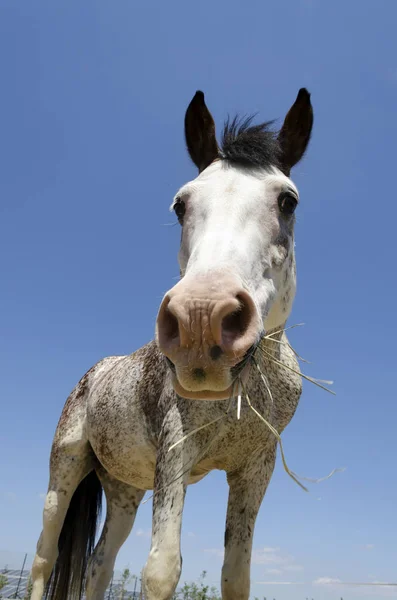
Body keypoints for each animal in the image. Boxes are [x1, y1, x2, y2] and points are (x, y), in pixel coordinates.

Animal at [30, 85, 312, 600]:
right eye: (181, 205)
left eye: (287, 201)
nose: (202, 319)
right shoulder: (176, 448)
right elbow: (161, 571)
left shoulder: (253, 469)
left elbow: (235, 576)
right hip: (65, 467)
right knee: (45, 558)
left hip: (125, 489)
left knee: (99, 566)